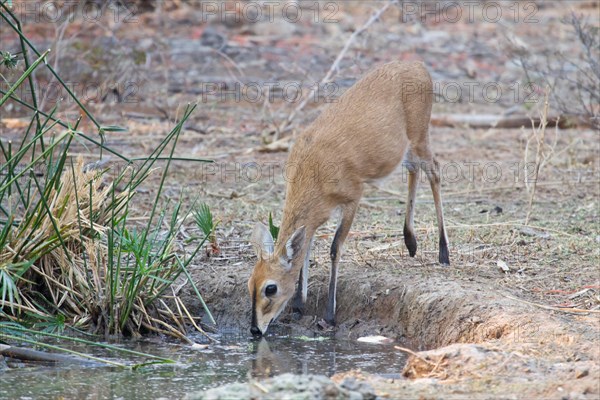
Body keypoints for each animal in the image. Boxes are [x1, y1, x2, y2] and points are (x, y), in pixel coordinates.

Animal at [246, 61, 448, 336]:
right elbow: (306, 250)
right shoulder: (315, 219)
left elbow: (334, 248)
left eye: (270, 288)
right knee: (414, 170)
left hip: (420, 136)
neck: (313, 171)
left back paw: (444, 254)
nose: (255, 330)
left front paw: (329, 315)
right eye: (250, 284)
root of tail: (417, 65)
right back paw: (411, 242)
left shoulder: (352, 199)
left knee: (434, 171)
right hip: (406, 148)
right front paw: (299, 304)